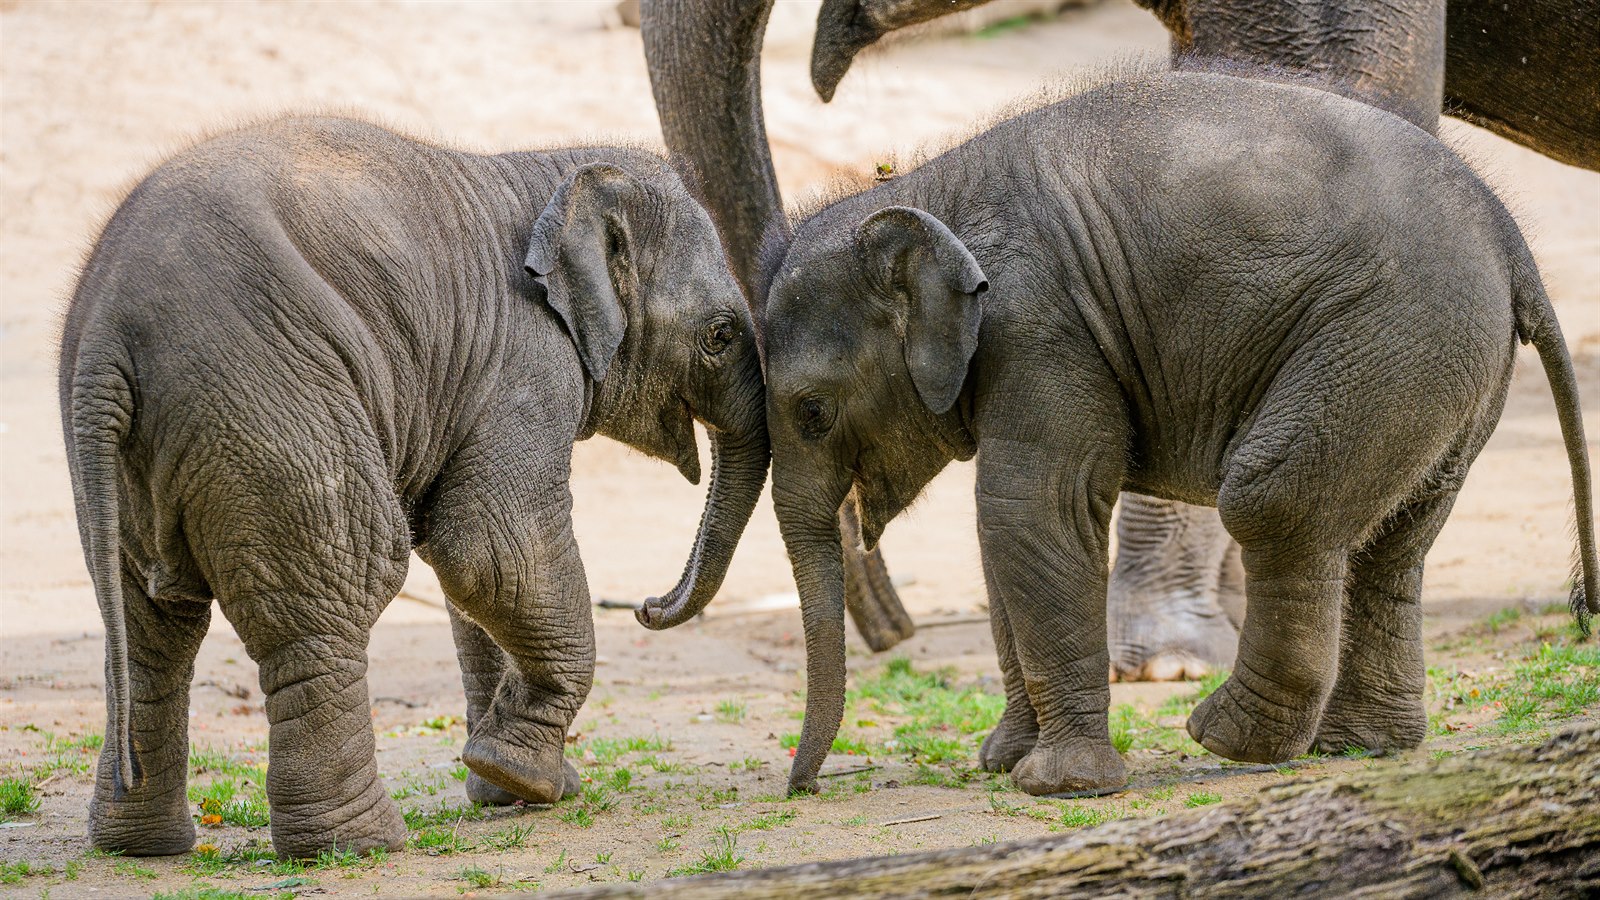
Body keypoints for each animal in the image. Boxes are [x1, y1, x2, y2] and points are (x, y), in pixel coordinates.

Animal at [68, 119, 774, 851]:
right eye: (721, 334)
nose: (646, 606)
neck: (550, 167)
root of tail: (107, 339)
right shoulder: (526, 358)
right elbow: (491, 551)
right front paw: (519, 774)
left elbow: (473, 577)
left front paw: (516, 788)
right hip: (269, 406)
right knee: (338, 595)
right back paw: (360, 844)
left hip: (145, 457)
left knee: (153, 626)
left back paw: (141, 846)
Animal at [758, 71, 1600, 797]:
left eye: (813, 412)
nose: (804, 786)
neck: (918, 190)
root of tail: (1512, 243)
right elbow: (1006, 534)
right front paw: (1004, 762)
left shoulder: (1039, 328)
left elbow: (1034, 511)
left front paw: (1060, 785)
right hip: (1449, 363)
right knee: (1397, 537)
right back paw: (1361, 747)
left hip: (1392, 335)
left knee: (1272, 499)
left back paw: (1227, 737)